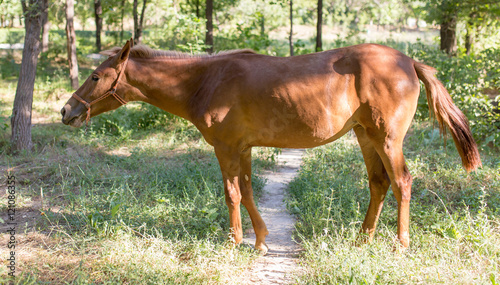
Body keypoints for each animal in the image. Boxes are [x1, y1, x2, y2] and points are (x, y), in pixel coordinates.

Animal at [60, 38, 482, 253]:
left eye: (96, 76)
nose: (66, 110)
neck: (205, 80)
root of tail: (409, 62)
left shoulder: (226, 148)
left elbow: (231, 194)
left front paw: (235, 241)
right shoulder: (242, 148)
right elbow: (247, 191)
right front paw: (260, 240)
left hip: (387, 139)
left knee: (402, 182)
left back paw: (400, 243)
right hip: (366, 136)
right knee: (378, 184)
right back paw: (362, 239)